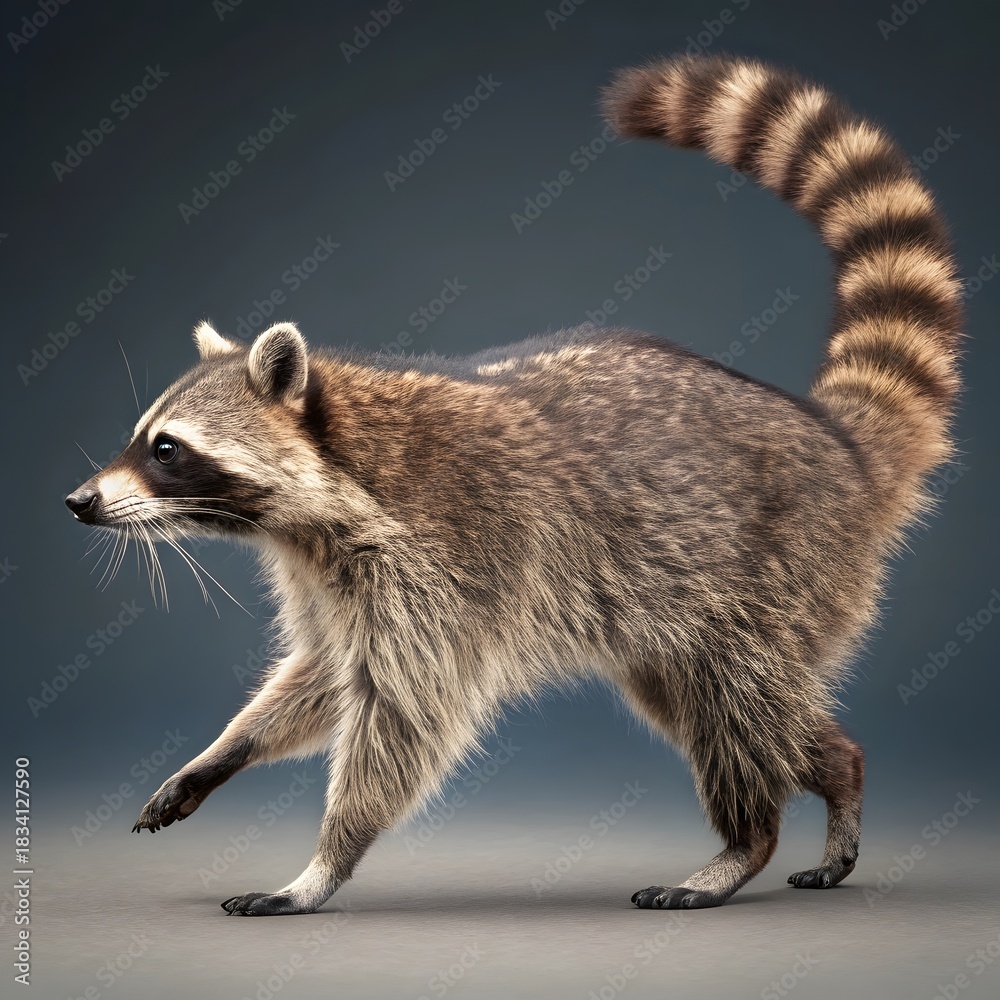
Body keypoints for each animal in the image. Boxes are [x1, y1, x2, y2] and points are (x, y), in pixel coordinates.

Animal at [65, 53, 962, 915]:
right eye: (141, 438)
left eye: (166, 450)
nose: (78, 502)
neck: (331, 482)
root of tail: (840, 447)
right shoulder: (327, 572)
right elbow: (320, 676)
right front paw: (224, 751)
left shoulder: (441, 566)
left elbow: (405, 714)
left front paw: (321, 866)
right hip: (684, 617)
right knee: (740, 705)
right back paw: (836, 769)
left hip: (772, 572)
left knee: (737, 702)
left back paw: (748, 842)